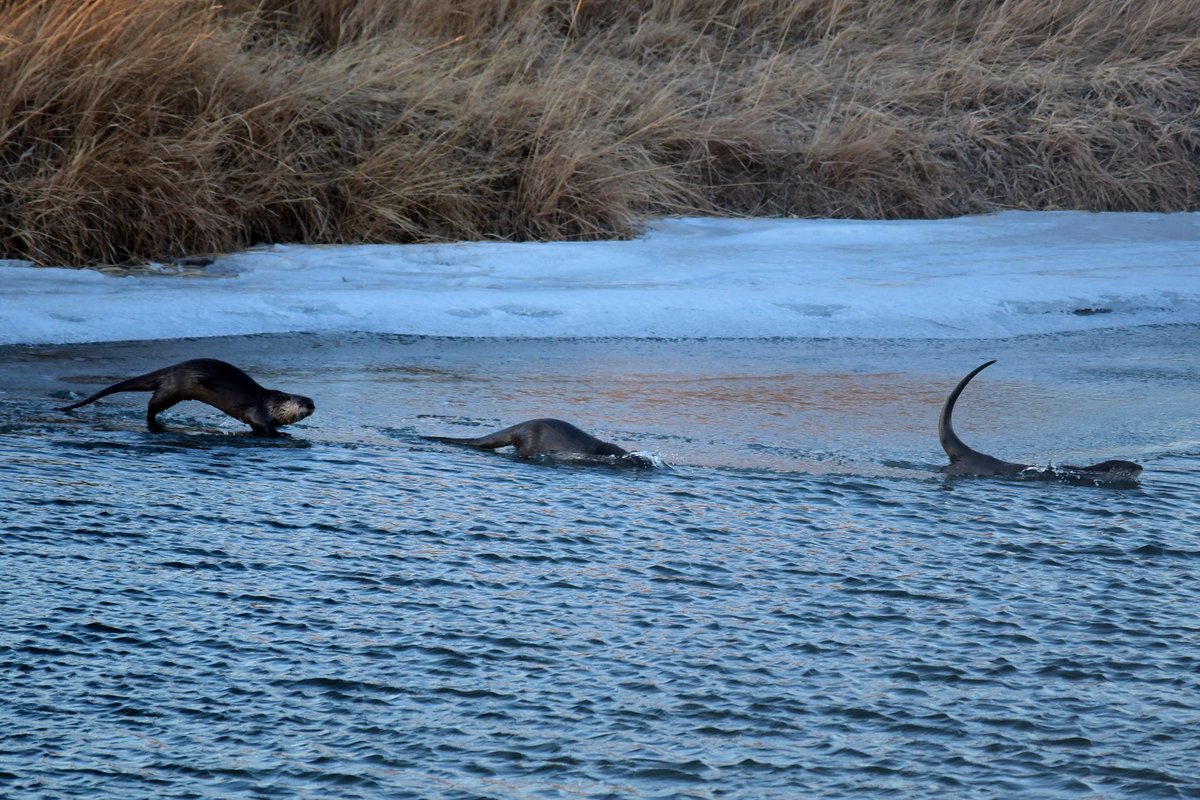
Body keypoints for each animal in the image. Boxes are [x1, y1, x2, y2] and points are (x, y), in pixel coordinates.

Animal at [58, 359, 315, 436]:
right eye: (304, 402)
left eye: (312, 402)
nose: (313, 405)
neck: (273, 405)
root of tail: (173, 368)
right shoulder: (259, 413)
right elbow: (264, 427)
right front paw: (279, 435)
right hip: (173, 389)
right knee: (152, 404)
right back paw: (152, 422)